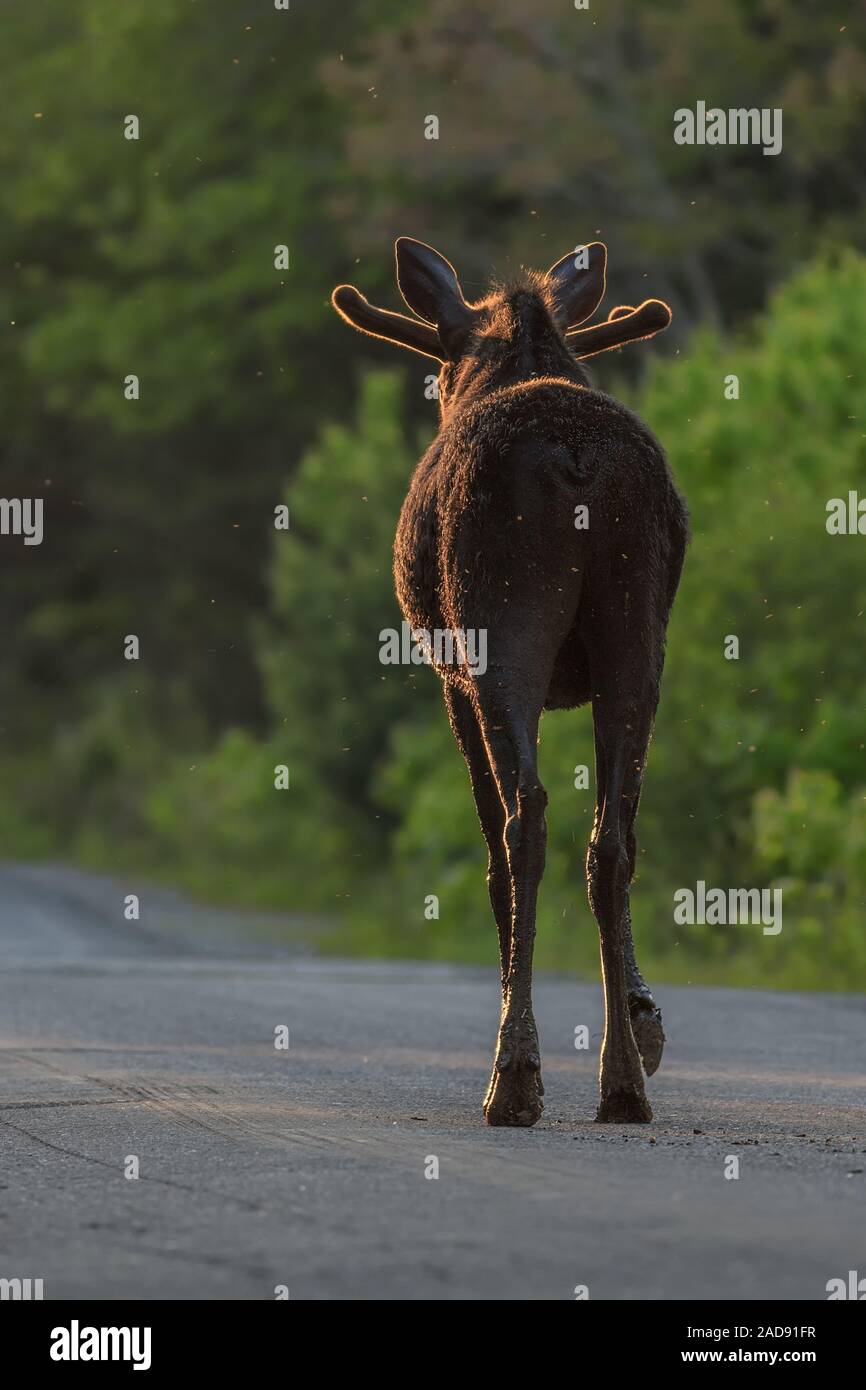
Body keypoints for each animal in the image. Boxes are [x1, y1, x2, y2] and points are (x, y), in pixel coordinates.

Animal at [335, 239, 686, 1123]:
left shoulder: (451, 681)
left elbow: (492, 848)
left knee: (526, 820)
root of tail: (577, 458)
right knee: (614, 837)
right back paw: (622, 1082)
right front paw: (644, 1017)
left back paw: (514, 1072)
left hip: (502, 629)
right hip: (639, 634)